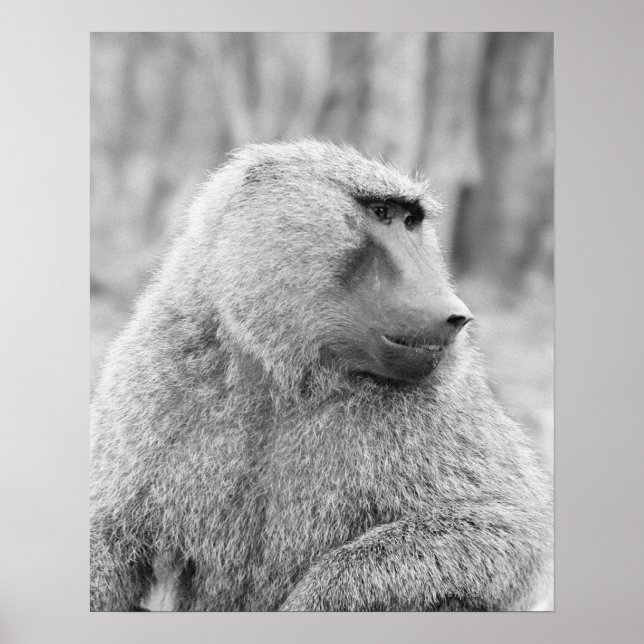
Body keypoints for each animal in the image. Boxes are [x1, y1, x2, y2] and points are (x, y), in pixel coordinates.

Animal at [90, 139, 552, 611]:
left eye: (411, 221)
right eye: (381, 212)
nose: (456, 315)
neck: (285, 374)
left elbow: (506, 528)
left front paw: (310, 603)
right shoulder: (153, 367)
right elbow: (109, 533)